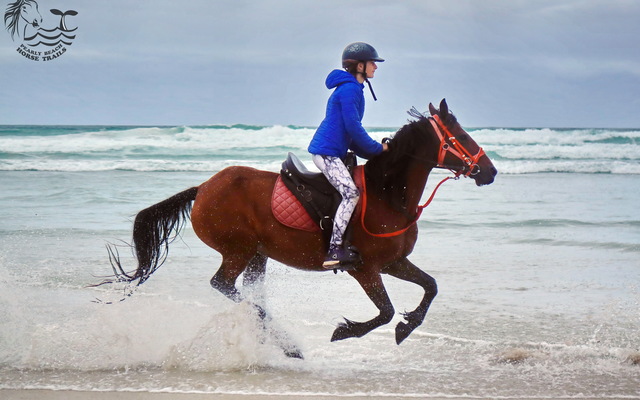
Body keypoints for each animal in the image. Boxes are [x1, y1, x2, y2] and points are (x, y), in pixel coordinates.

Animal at [101, 99, 497, 357]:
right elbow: (384, 311)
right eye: (461, 136)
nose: (490, 171)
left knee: (249, 292)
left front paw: (407, 324)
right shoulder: (365, 269)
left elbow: (430, 287)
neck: (388, 195)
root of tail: (203, 188)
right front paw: (345, 331)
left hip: (257, 255)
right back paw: (287, 343)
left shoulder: (394, 262)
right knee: (225, 286)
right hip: (237, 250)